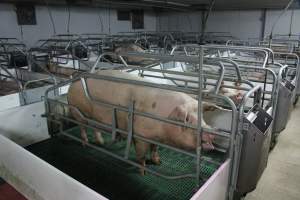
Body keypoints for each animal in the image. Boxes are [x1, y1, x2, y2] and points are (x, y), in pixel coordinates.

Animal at [67, 70, 218, 175]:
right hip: (77, 111)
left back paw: (101, 143)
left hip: (93, 116)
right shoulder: (140, 136)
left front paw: (158, 162)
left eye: (202, 116)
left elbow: (155, 149)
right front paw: (143, 172)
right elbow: (141, 155)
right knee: (82, 128)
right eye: (188, 119)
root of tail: (72, 83)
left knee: (94, 127)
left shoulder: (156, 138)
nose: (211, 131)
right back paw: (85, 144)